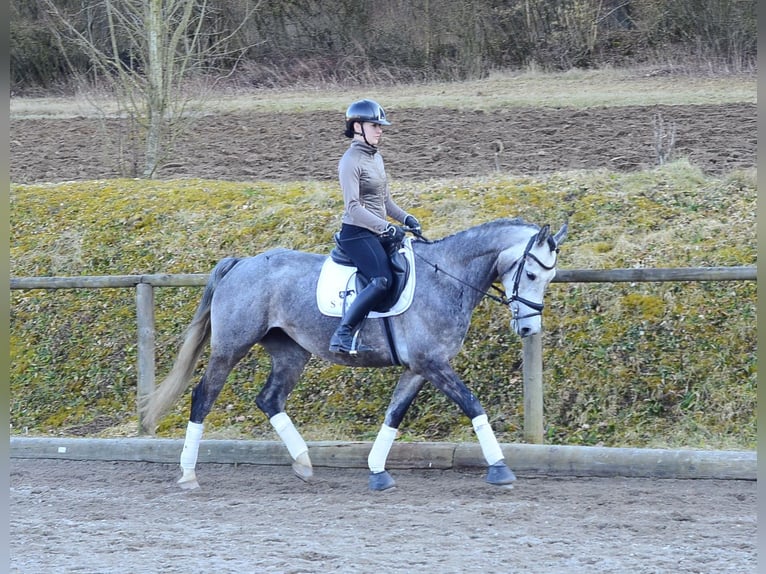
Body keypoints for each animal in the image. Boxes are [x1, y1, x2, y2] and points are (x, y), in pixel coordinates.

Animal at [141, 218, 568, 492]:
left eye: (550, 277)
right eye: (532, 274)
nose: (529, 330)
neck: (446, 277)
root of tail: (242, 262)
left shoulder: (419, 367)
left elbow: (394, 414)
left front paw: (378, 472)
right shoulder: (432, 363)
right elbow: (473, 404)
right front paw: (499, 468)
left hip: (291, 352)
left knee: (270, 399)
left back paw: (303, 462)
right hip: (230, 348)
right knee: (203, 397)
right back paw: (188, 475)